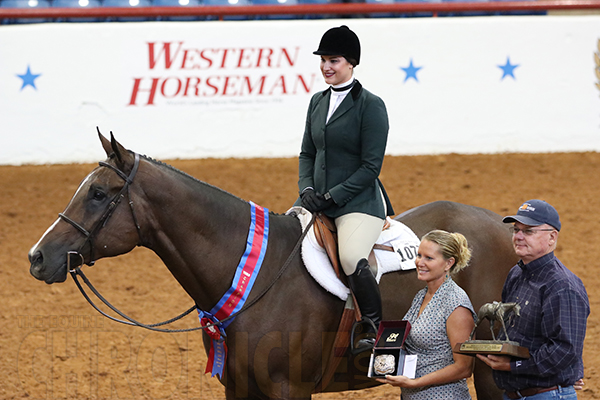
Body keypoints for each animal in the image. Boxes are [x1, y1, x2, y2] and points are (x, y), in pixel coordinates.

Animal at [27, 134, 516, 400]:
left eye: (98, 194)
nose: (37, 257)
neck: (255, 277)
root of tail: (497, 223)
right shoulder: (238, 387)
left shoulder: (289, 388)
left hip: (486, 366)